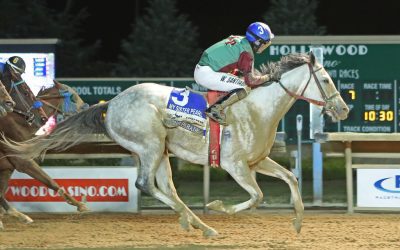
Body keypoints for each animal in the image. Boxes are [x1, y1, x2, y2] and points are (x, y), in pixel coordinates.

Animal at [0, 77, 88, 229]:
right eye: (73, 97)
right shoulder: (23, 161)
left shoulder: (8, 167)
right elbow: (50, 181)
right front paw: (79, 204)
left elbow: (1, 192)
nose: (87, 109)